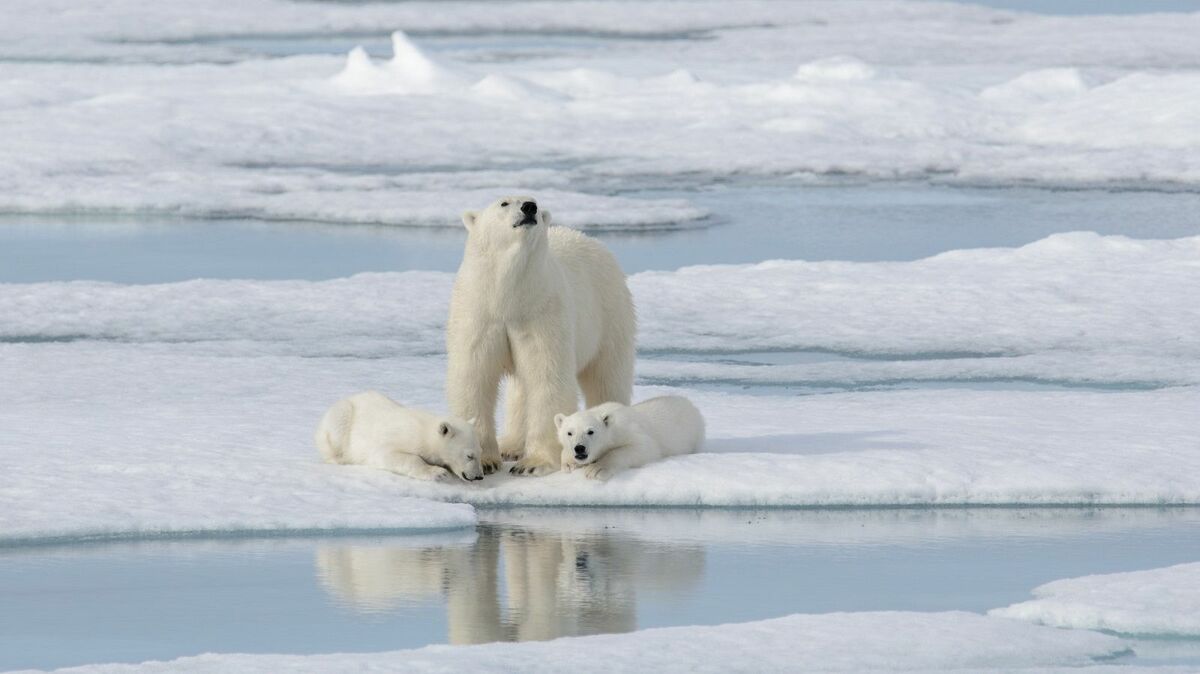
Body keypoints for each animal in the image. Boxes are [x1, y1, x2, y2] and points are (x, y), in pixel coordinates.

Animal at [321, 390, 489, 479]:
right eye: (469, 455)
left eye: (481, 452)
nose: (479, 476)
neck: (425, 434)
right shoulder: (401, 439)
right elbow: (389, 455)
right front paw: (437, 472)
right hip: (343, 414)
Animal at [446, 196, 638, 474]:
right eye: (504, 203)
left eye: (534, 201)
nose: (529, 207)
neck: (509, 297)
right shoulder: (480, 314)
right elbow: (475, 375)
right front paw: (486, 460)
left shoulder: (542, 311)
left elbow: (547, 376)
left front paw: (532, 464)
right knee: (520, 390)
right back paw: (511, 445)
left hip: (610, 312)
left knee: (607, 376)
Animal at [552, 395, 700, 479]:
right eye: (569, 433)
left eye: (590, 431)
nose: (579, 448)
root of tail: (690, 404)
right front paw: (569, 463)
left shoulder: (629, 430)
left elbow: (644, 447)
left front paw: (597, 469)